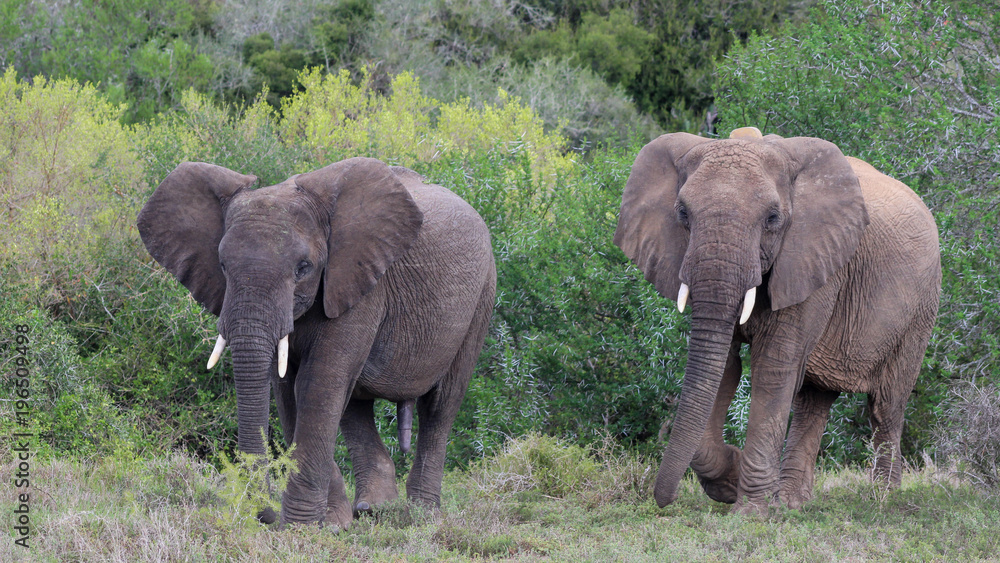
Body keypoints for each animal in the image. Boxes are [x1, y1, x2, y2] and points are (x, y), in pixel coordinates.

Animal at [139, 158, 498, 528]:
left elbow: (316, 384)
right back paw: (373, 510)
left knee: (441, 405)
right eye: (222, 265)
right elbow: (287, 390)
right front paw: (330, 522)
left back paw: (420, 515)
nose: (265, 514)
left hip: (483, 295)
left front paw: (300, 526)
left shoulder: (360, 281)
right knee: (355, 406)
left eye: (303, 268)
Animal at [612, 128, 940, 516]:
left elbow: (772, 368)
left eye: (772, 218)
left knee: (886, 405)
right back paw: (793, 502)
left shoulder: (813, 261)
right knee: (814, 400)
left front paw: (750, 512)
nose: (663, 500)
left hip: (921, 309)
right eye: (682, 212)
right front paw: (732, 481)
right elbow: (724, 367)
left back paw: (883, 499)